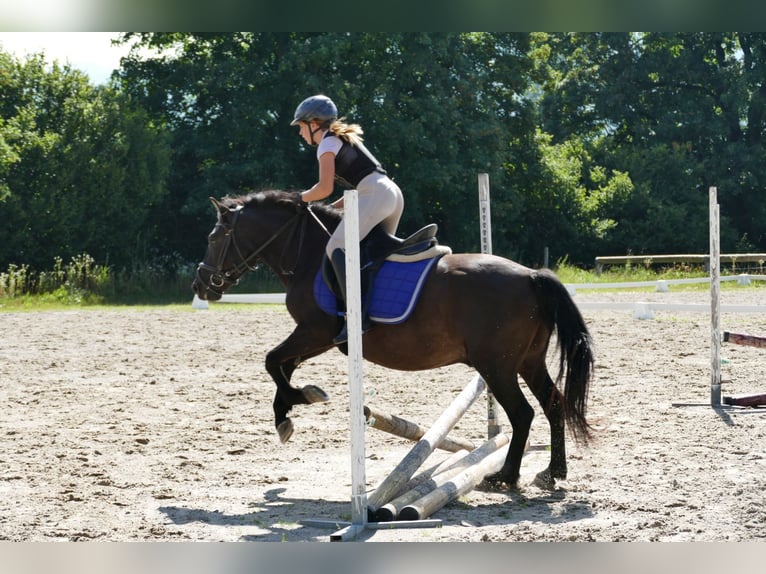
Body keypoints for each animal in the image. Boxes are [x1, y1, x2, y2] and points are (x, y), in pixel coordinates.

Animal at [194, 189, 600, 490]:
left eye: (214, 237)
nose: (201, 285)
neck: (305, 253)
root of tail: (531, 275)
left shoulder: (313, 331)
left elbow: (271, 361)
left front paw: (298, 403)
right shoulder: (319, 339)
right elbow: (281, 367)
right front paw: (290, 410)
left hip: (496, 367)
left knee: (523, 413)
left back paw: (505, 476)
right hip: (528, 361)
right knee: (554, 404)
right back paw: (552, 473)